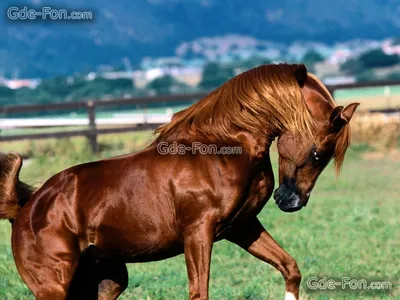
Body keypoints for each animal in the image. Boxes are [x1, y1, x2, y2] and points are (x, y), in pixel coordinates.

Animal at [0, 63, 360, 300]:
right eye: (318, 153)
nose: (291, 202)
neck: (222, 148)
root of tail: (25, 210)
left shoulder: (242, 227)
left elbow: (290, 267)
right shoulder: (198, 233)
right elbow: (199, 292)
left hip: (107, 281)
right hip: (54, 286)